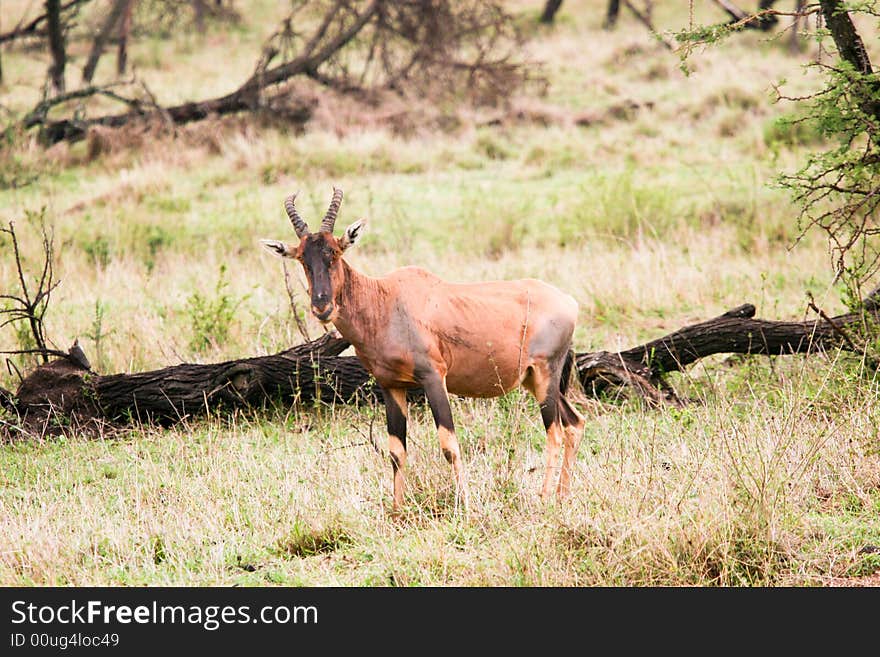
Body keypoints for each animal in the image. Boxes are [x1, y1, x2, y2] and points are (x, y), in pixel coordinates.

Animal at [264, 187, 588, 510]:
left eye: (334, 252)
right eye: (302, 258)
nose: (322, 308)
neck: (386, 299)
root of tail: (569, 301)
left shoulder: (433, 377)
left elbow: (449, 444)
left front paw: (465, 505)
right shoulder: (391, 386)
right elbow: (396, 450)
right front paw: (397, 510)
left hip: (545, 374)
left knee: (555, 431)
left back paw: (544, 499)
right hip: (533, 379)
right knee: (575, 423)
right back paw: (562, 496)